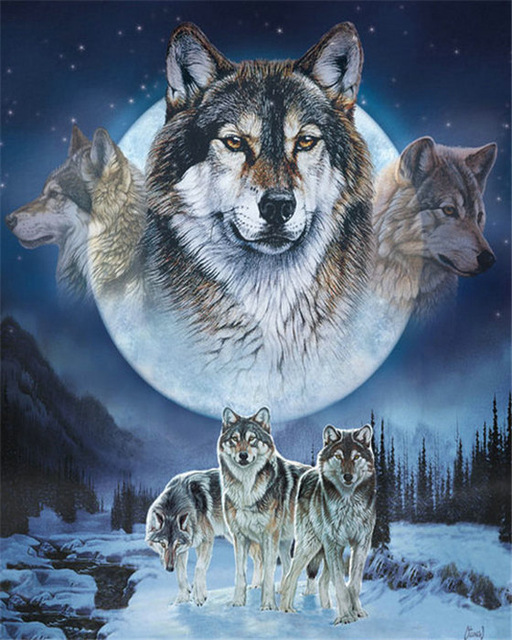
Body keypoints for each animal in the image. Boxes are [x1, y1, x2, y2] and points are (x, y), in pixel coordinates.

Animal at [146, 468, 262, 606]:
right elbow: (181, 575)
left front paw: (199, 596)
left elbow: (199, 568)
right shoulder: (185, 549)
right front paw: (183, 598)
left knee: (261, 558)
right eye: (162, 544)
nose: (169, 568)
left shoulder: (207, 540)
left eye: (177, 544)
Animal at [217, 407, 309, 610]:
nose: (243, 455)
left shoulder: (269, 536)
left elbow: (268, 574)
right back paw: (284, 592)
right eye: (235, 439)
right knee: (289, 566)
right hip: (284, 542)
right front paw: (238, 602)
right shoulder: (240, 537)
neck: (247, 490)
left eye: (252, 439)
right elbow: (240, 574)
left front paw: (268, 605)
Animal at [280, 424, 376, 625]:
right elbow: (340, 585)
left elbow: (353, 584)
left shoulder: (361, 543)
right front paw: (346, 617)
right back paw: (286, 609)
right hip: (311, 546)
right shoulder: (333, 544)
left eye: (356, 457)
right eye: (338, 456)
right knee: (290, 576)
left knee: (322, 581)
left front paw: (356, 612)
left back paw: (326, 609)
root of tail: (309, 472)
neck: (349, 503)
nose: (348, 477)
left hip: (328, 550)